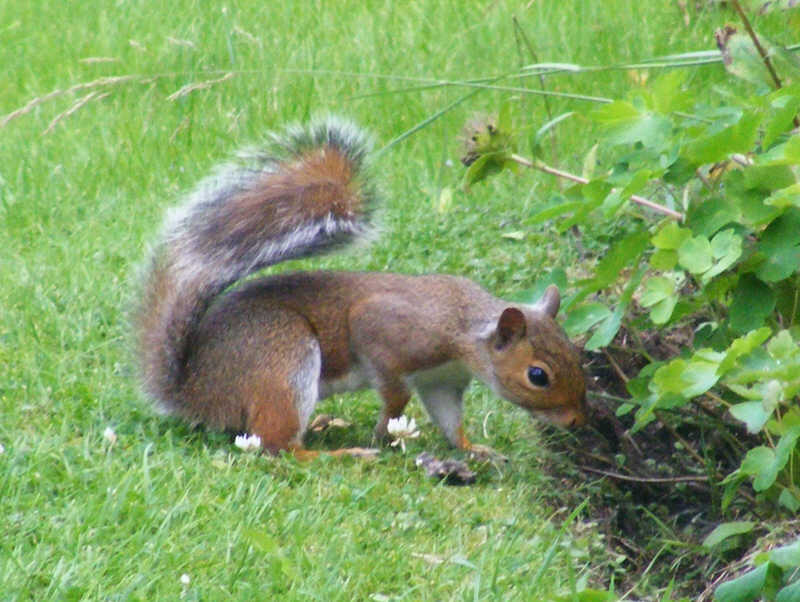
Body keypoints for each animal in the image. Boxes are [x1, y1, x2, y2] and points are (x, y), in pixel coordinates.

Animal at [135, 116, 587, 459]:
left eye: (575, 353)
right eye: (538, 375)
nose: (577, 420)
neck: (464, 328)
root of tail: (193, 391)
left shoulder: (442, 382)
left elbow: (449, 420)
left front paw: (473, 449)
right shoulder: (385, 330)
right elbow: (394, 390)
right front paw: (385, 431)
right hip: (281, 358)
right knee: (278, 445)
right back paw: (341, 454)